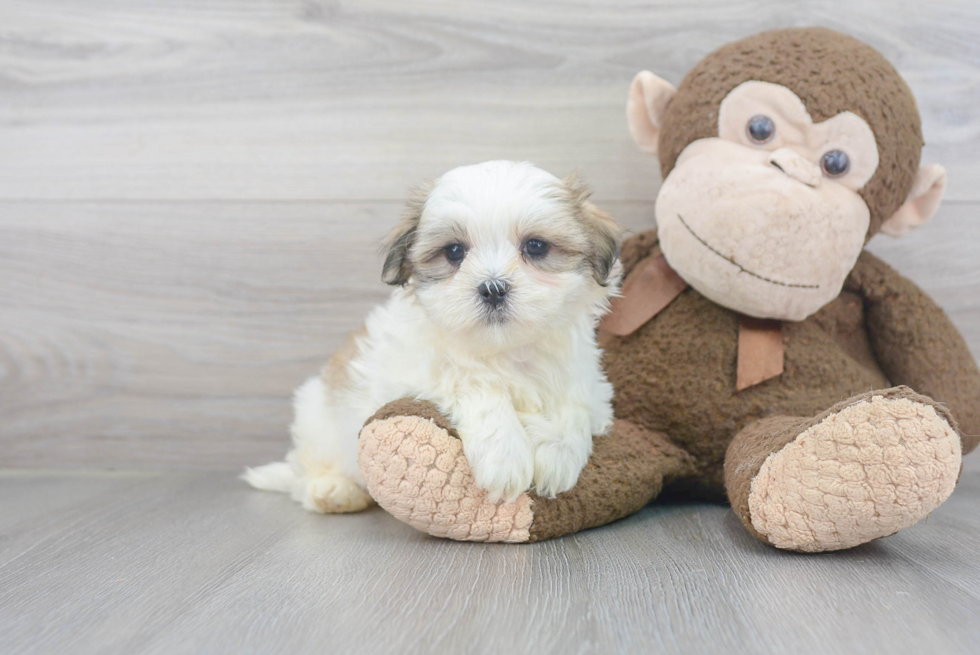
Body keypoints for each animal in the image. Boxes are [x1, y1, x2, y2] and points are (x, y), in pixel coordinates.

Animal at [244, 160, 620, 512]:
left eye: (537, 246)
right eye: (454, 252)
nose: (493, 288)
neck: (502, 351)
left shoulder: (589, 385)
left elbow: (574, 407)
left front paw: (556, 454)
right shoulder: (408, 374)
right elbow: (474, 385)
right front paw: (505, 454)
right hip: (318, 420)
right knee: (306, 472)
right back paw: (333, 490)